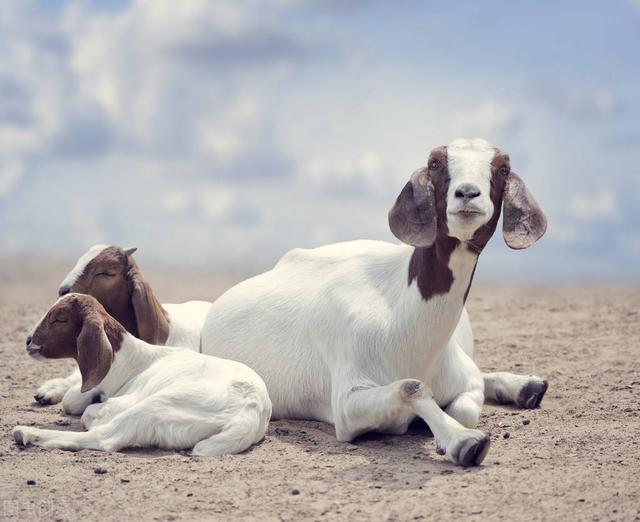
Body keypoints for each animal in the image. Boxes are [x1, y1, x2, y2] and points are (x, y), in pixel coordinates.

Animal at [14, 294, 270, 452]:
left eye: (60, 318)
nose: (28, 341)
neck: (132, 364)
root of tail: (250, 410)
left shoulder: (126, 400)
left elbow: (90, 413)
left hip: (158, 406)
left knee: (104, 438)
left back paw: (26, 433)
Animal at [202, 137, 548, 464]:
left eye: (502, 168)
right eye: (435, 163)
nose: (467, 194)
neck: (409, 331)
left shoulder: (465, 379)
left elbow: (461, 407)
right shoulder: (347, 402)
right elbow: (412, 387)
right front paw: (464, 443)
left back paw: (527, 387)